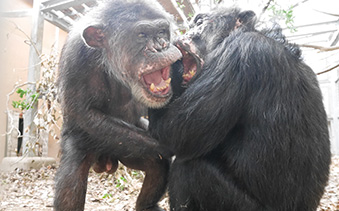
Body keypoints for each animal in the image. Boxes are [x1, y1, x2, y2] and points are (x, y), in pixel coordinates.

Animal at [54, 0, 182, 210]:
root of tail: (105, 163)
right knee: (70, 182)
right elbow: (83, 112)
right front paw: (170, 144)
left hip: (130, 151)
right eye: (141, 35)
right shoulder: (76, 56)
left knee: (157, 164)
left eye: (162, 32)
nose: (161, 46)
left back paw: (147, 205)